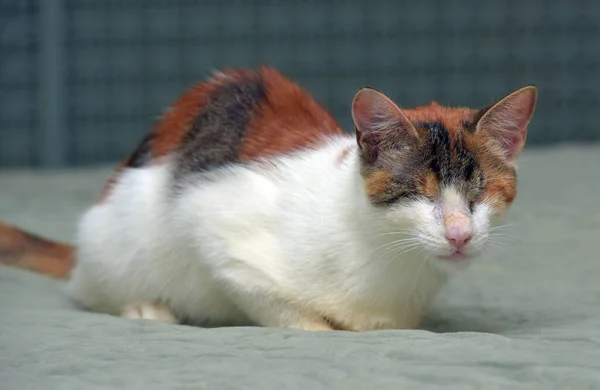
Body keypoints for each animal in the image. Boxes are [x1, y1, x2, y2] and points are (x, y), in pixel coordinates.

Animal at [0, 68, 536, 332]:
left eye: (480, 192)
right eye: (419, 192)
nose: (459, 234)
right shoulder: (215, 229)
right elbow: (287, 314)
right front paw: (319, 328)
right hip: (120, 242)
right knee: (92, 290)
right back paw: (145, 307)